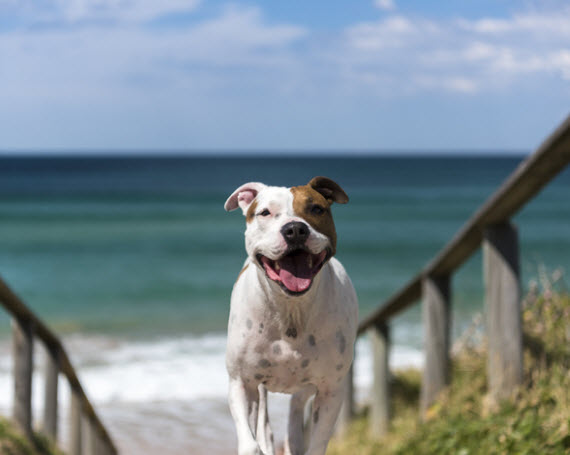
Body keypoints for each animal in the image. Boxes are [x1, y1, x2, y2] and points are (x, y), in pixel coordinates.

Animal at [222, 175, 356, 455]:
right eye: (265, 212)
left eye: (316, 209)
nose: (295, 229)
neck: (291, 311)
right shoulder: (241, 382)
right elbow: (250, 442)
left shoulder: (331, 390)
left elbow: (317, 443)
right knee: (265, 424)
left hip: (306, 387)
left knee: (295, 412)